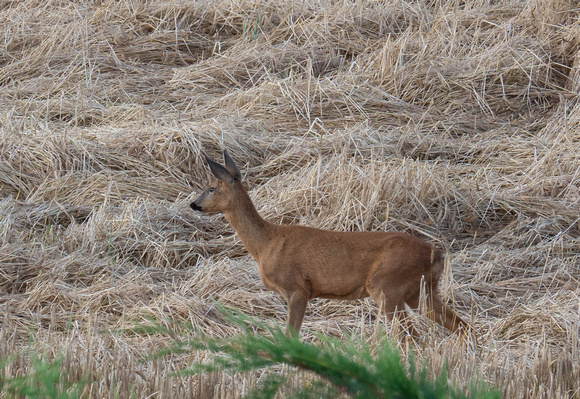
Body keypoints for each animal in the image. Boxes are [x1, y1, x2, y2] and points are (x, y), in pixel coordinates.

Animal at [191, 150, 472, 338]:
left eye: (211, 187)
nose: (194, 204)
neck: (266, 244)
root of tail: (438, 253)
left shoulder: (297, 288)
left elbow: (291, 335)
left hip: (386, 283)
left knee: (409, 335)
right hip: (421, 290)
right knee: (460, 325)